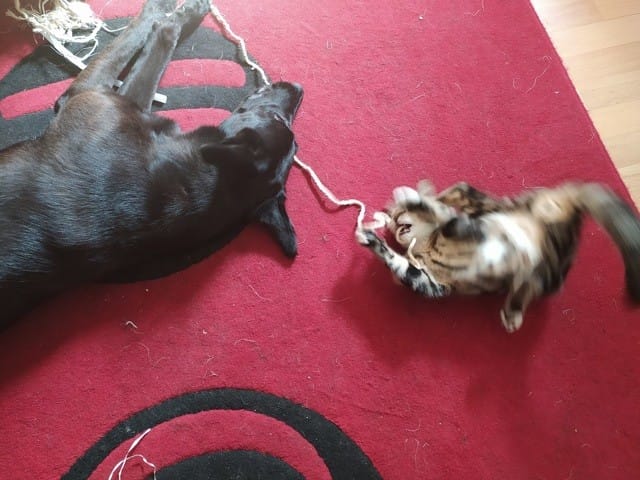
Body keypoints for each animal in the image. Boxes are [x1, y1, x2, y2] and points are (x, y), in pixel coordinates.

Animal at [0, 0, 303, 328]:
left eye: (277, 118)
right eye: (284, 124)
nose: (299, 88)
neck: (201, 180)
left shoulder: (88, 95)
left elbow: (152, 40)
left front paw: (172, 12)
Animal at [356, 180, 640, 332]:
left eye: (397, 215)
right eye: (393, 222)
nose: (394, 220)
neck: (428, 244)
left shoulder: (469, 229)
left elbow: (445, 216)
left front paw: (417, 199)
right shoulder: (430, 283)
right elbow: (400, 264)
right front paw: (370, 238)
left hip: (544, 266)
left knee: (460, 191)